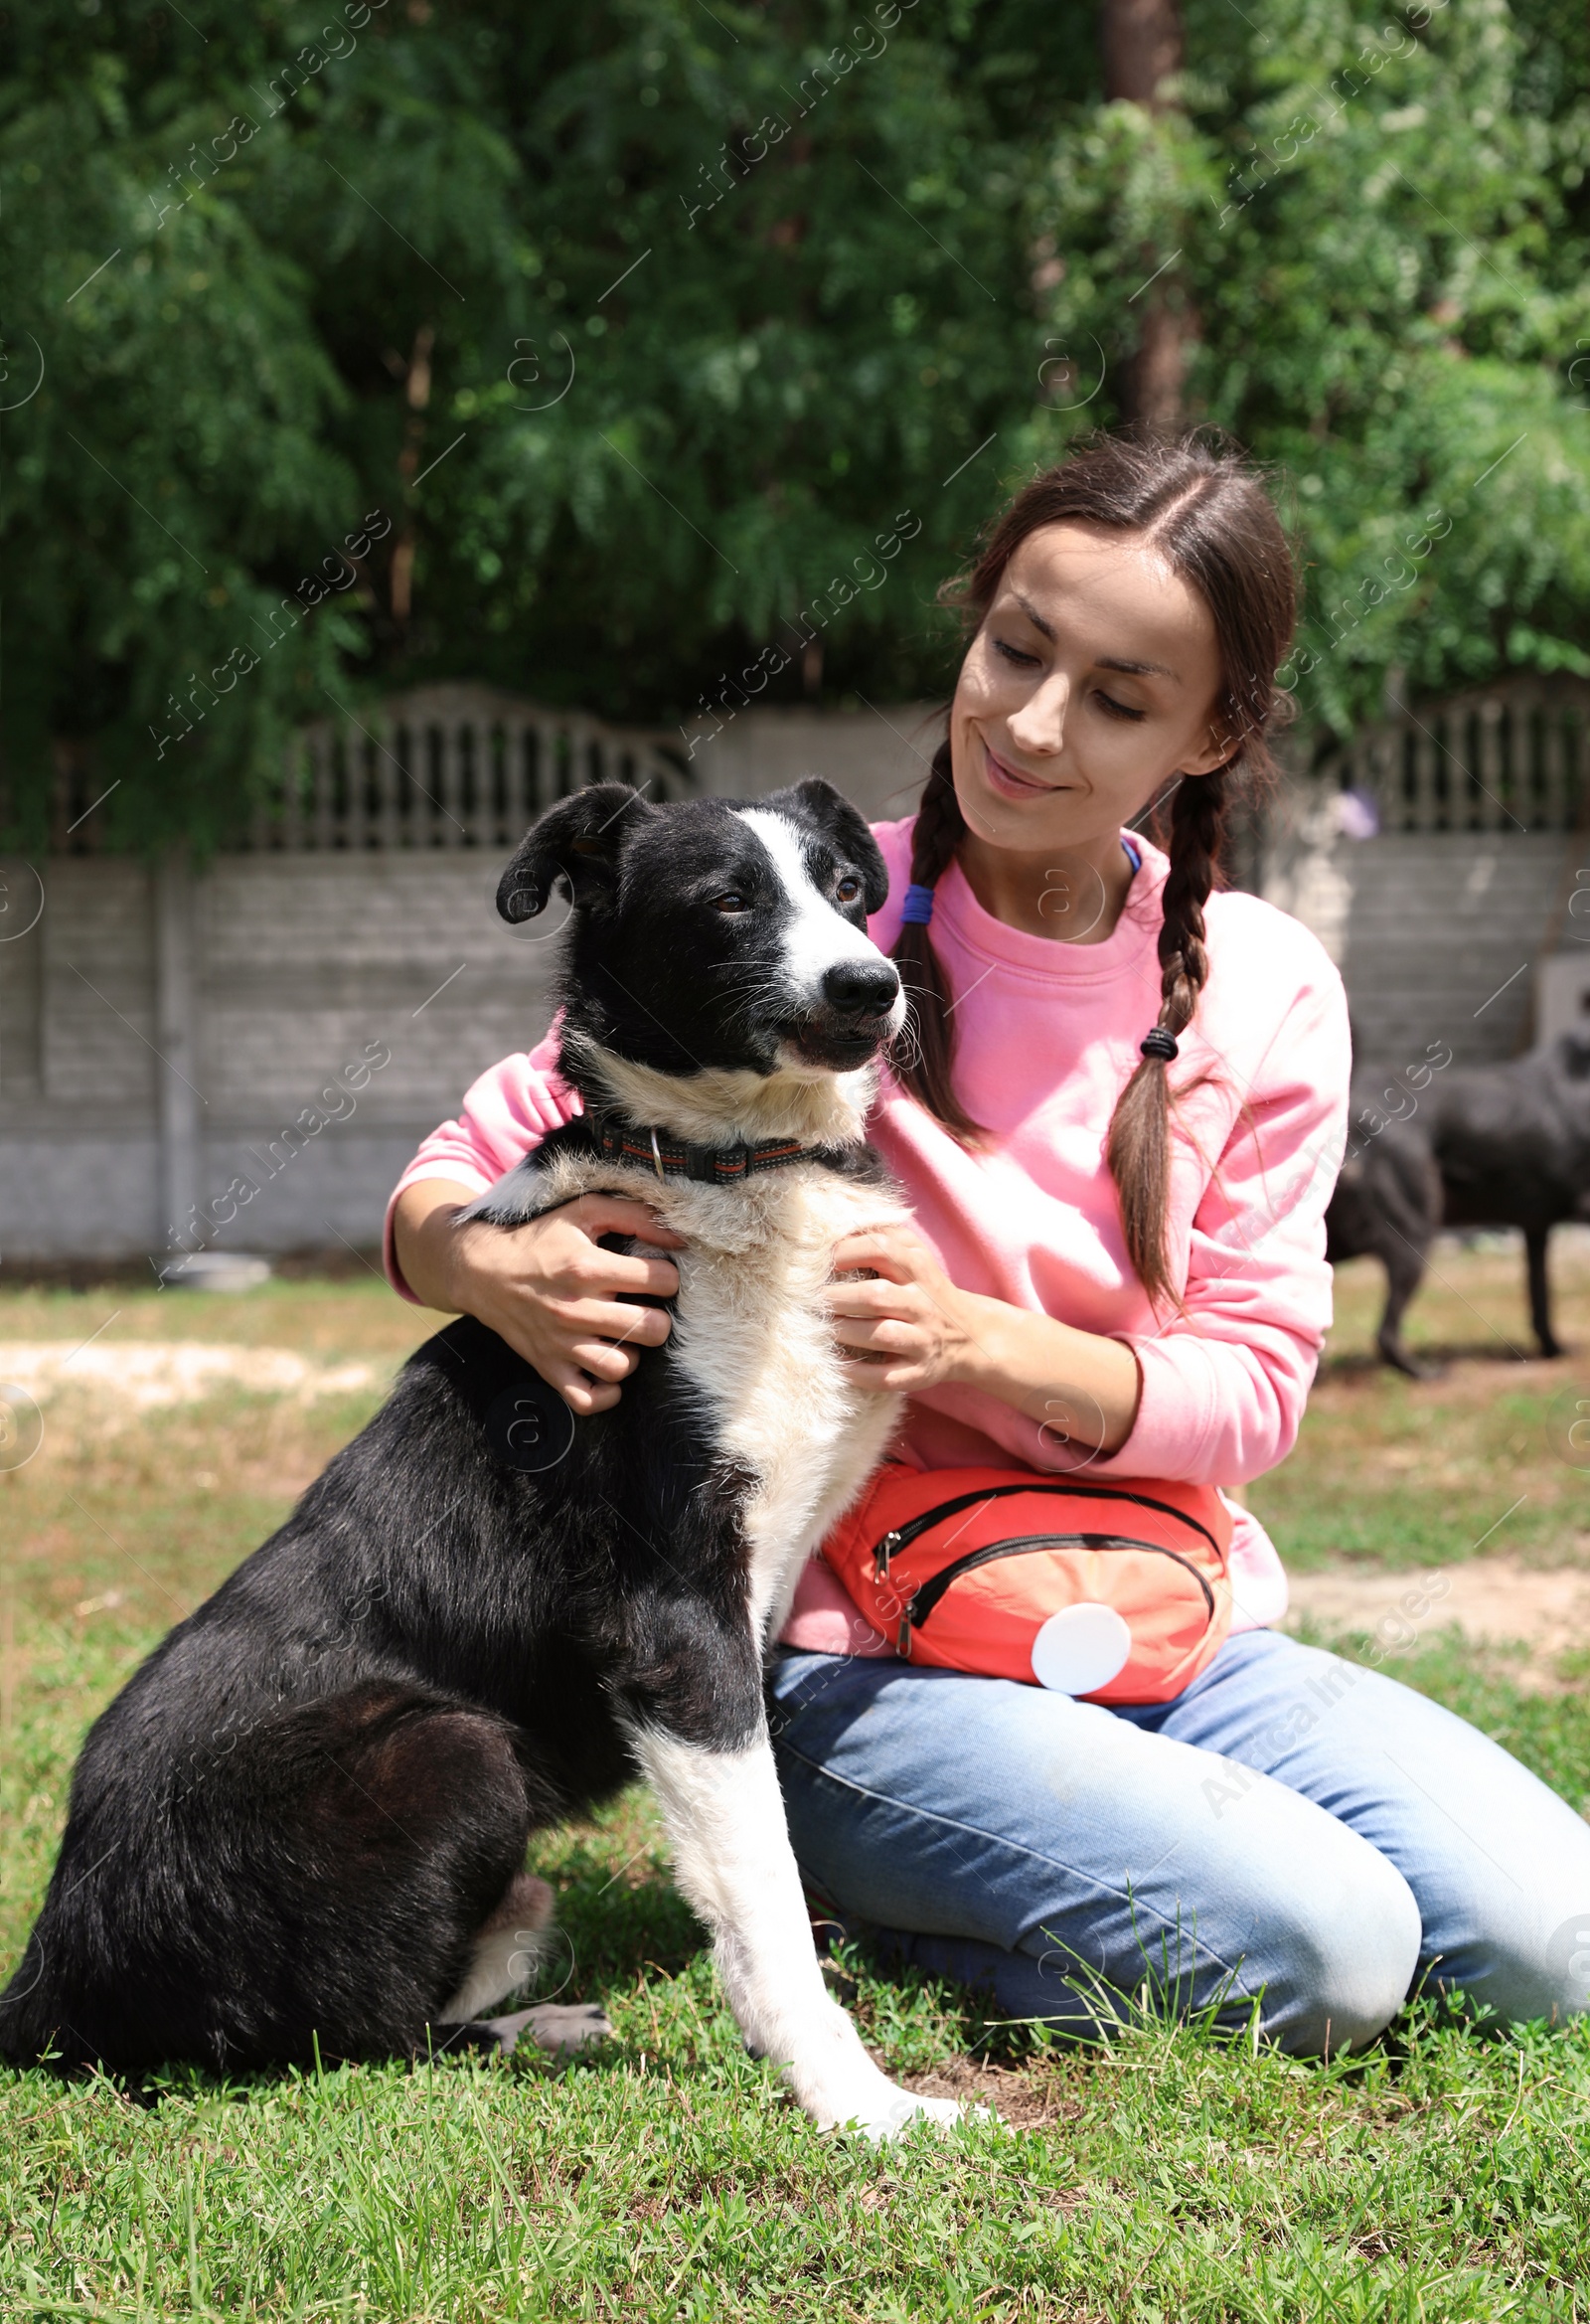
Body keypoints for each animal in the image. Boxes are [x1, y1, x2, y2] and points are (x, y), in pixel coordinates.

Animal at [0, 780, 957, 2137]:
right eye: (729, 901)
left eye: (843, 885)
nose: (871, 986)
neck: (727, 1168)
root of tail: (44, 1965)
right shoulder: (675, 1621)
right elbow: (762, 1897)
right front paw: (860, 2102)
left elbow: (762, 1850)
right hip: (454, 1750)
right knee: (359, 2034)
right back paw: (534, 2031)